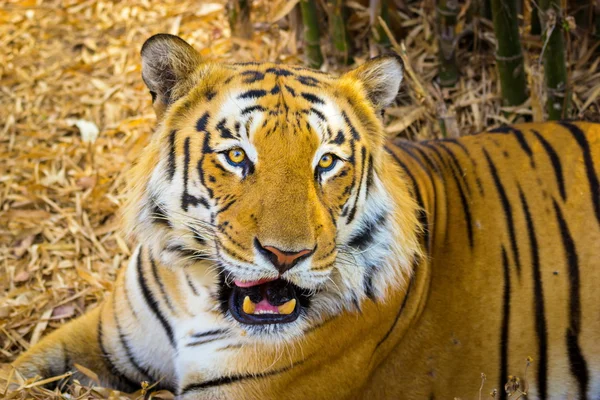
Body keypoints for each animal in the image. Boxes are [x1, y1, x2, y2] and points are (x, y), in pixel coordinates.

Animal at [9, 32, 600, 398]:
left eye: (327, 162)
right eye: (237, 156)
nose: (286, 256)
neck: (195, 297)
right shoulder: (93, 337)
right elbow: (16, 372)